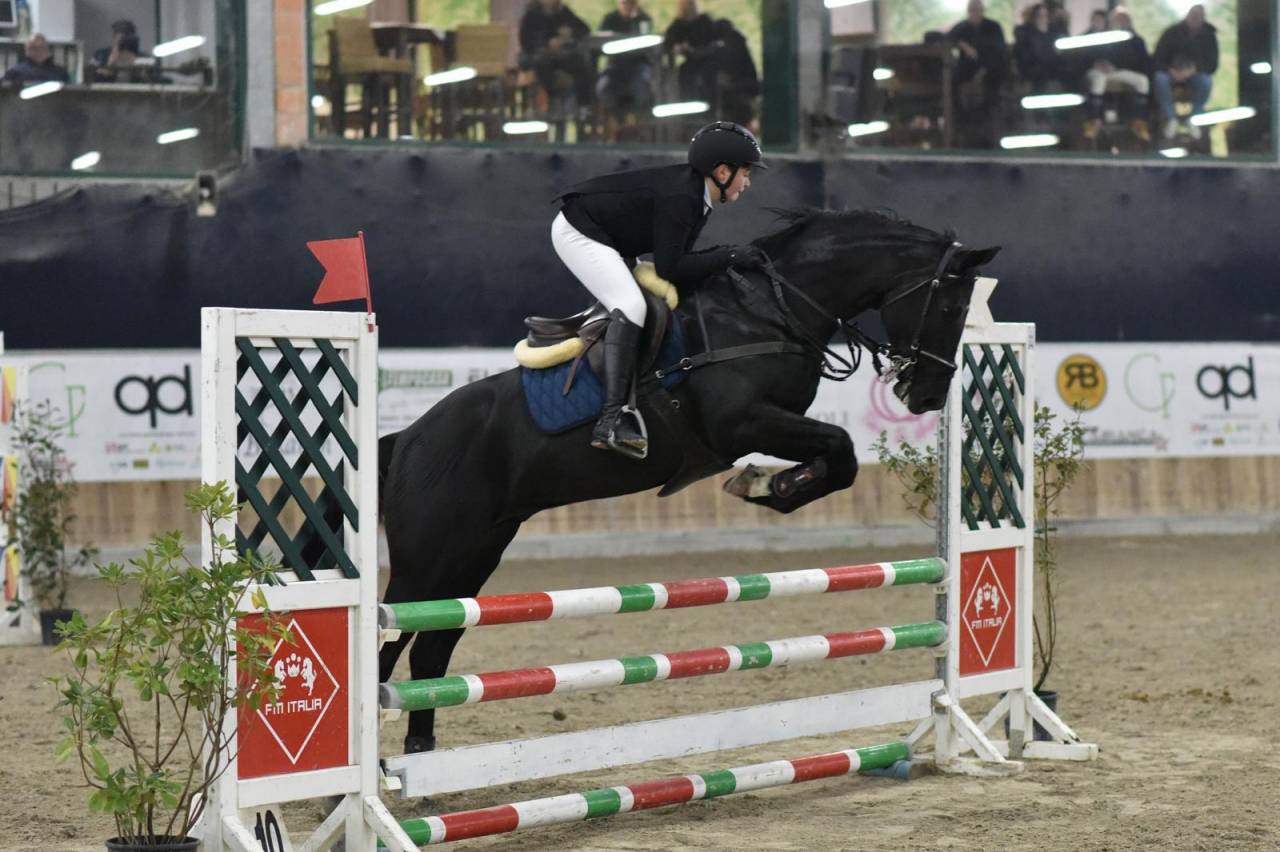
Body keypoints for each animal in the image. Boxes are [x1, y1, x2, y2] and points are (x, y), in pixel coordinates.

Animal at [377, 208, 999, 753]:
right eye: (948, 303)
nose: (927, 396)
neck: (770, 311)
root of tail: (406, 438)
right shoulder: (741, 424)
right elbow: (842, 451)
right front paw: (765, 486)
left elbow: (838, 461)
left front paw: (765, 485)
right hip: (428, 561)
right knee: (389, 642)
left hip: (475, 554)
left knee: (430, 652)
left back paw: (421, 754)